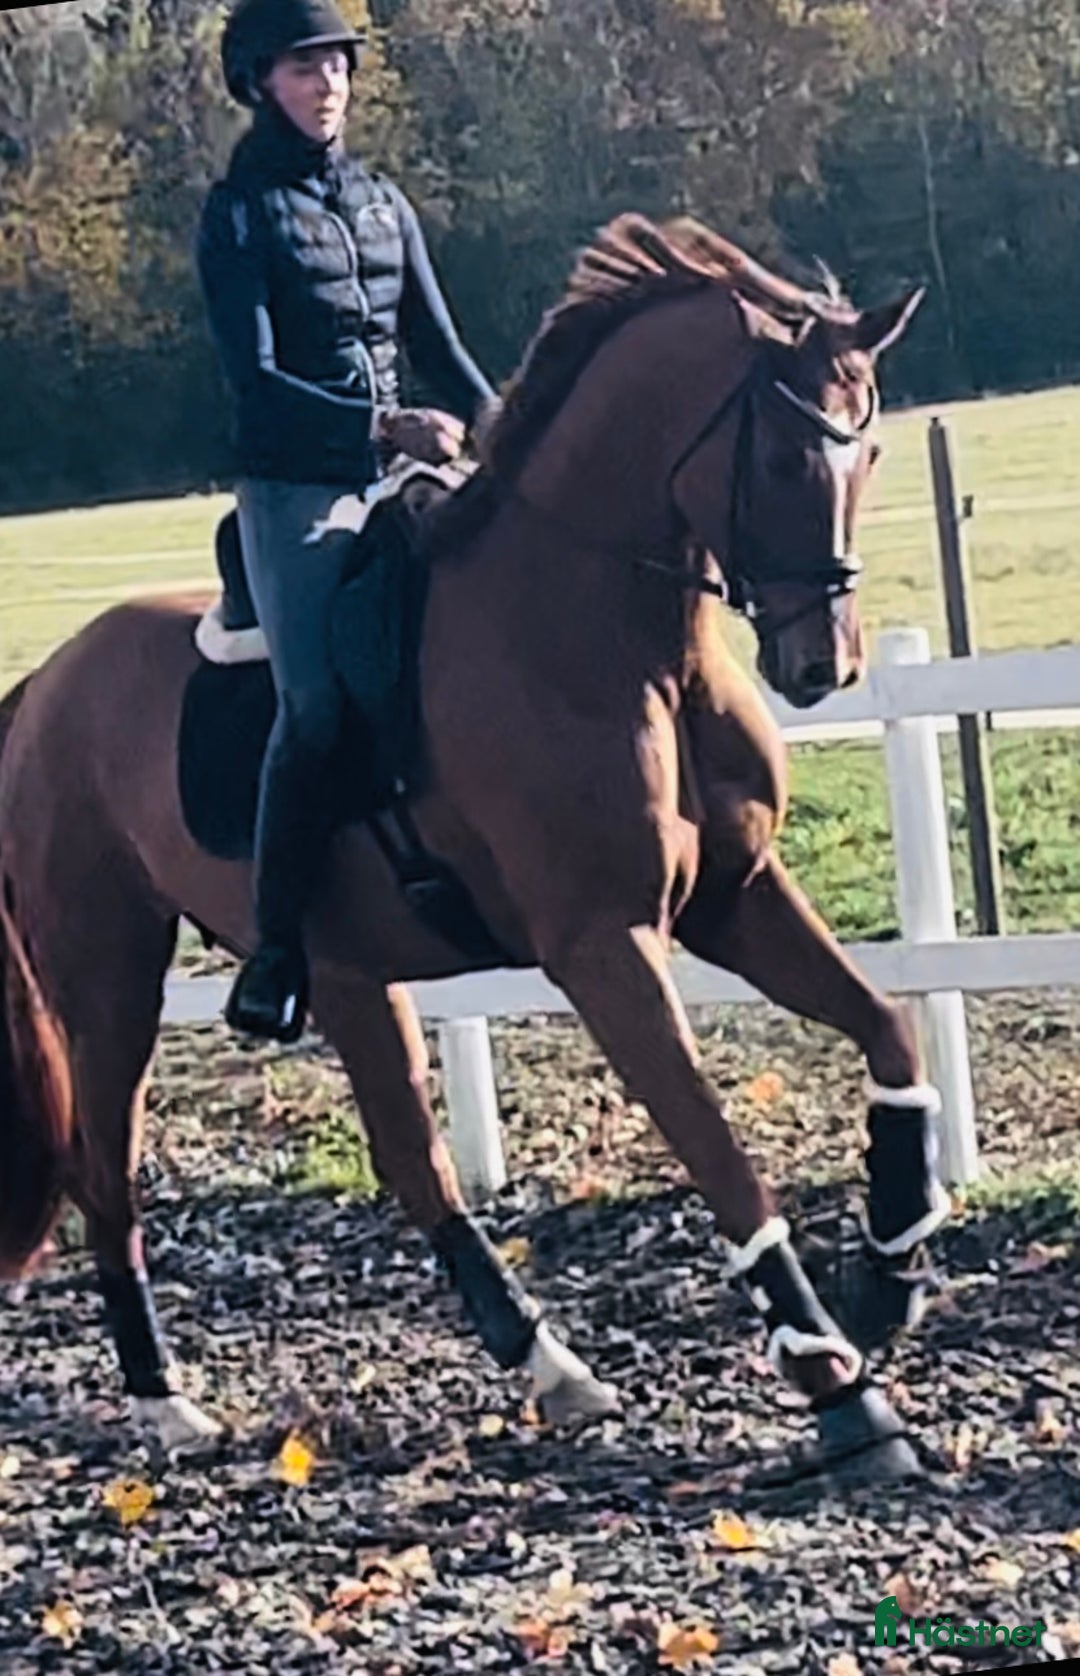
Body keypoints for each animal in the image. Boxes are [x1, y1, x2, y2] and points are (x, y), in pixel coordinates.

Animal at [0, 214, 933, 1483]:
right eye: (788, 461)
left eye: (870, 449)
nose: (818, 665)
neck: (607, 636)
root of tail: (43, 686)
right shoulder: (604, 945)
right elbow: (716, 1147)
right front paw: (838, 1385)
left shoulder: (734, 896)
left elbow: (887, 1027)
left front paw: (888, 1268)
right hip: (110, 978)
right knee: (108, 1167)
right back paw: (162, 1397)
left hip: (345, 972)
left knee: (411, 1161)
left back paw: (549, 1364)